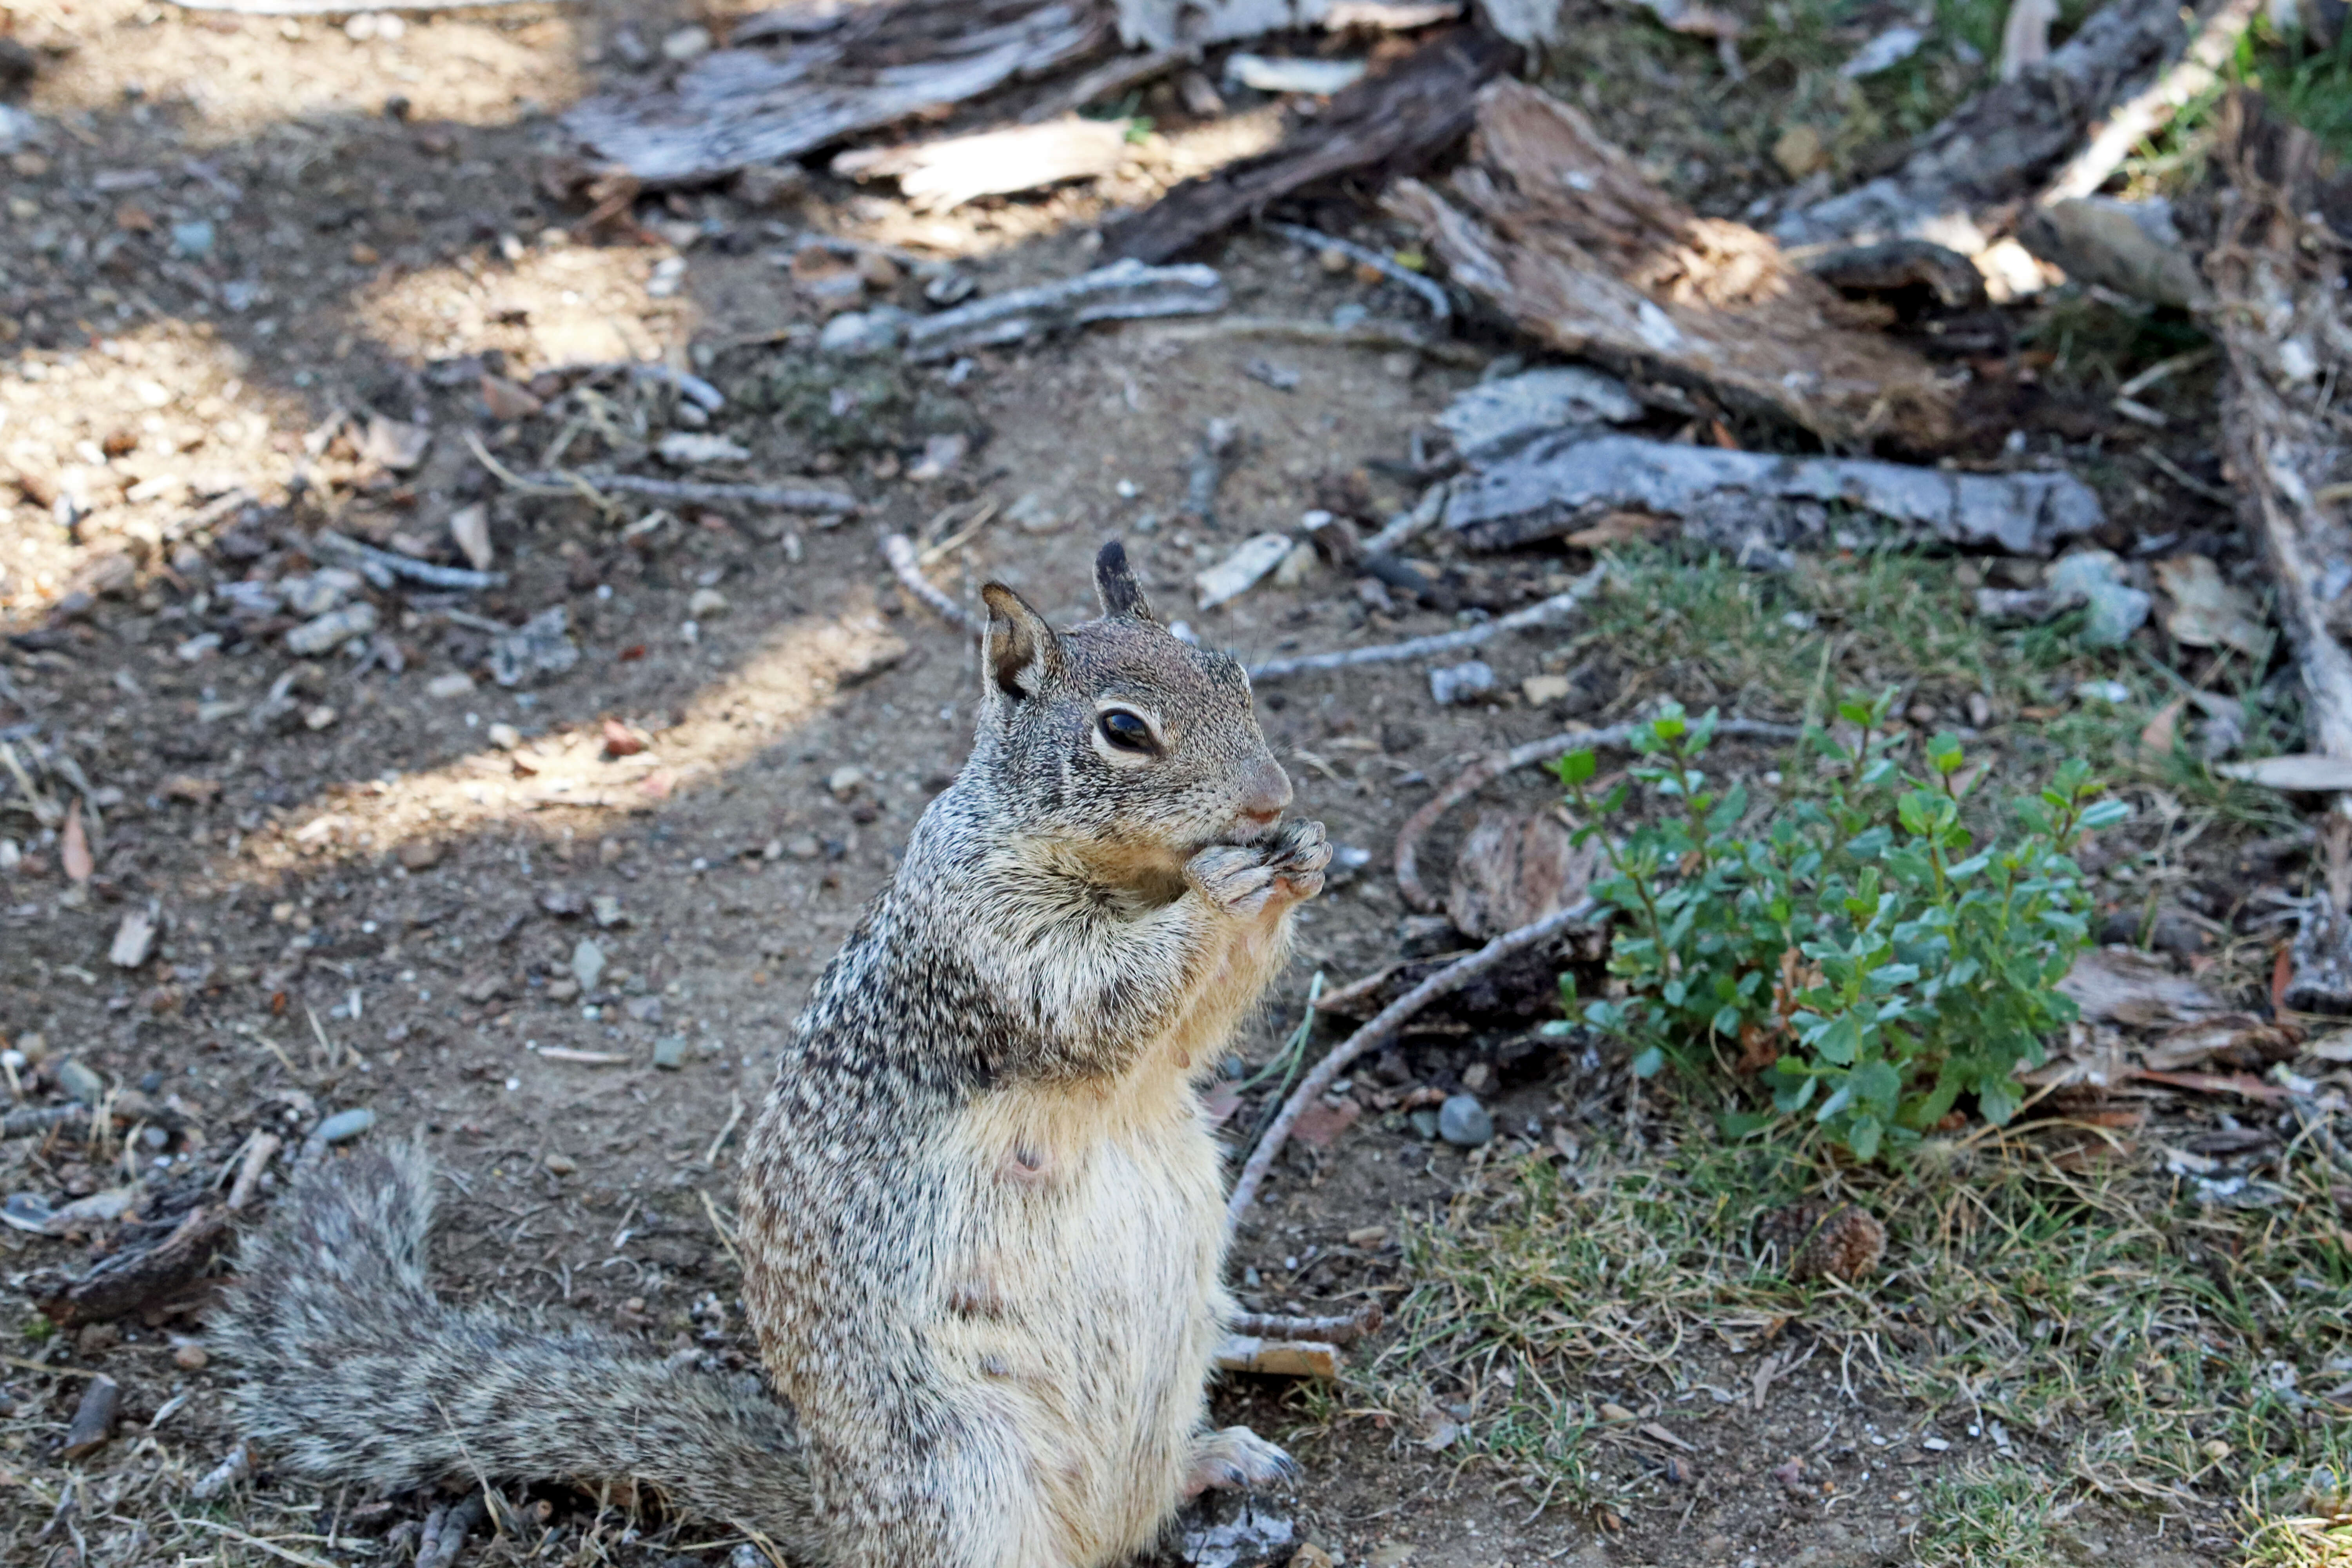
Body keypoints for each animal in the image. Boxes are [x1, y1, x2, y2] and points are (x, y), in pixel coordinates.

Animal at [219, 543, 1336, 1568]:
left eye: (1234, 669)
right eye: (1122, 730)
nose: (1272, 798)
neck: (1138, 875)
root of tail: (838, 1512)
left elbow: (1193, 1031)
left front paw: (1306, 858)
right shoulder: (984, 937)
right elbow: (1102, 994)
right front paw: (1230, 888)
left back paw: (1217, 1459)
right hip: (956, 1476)